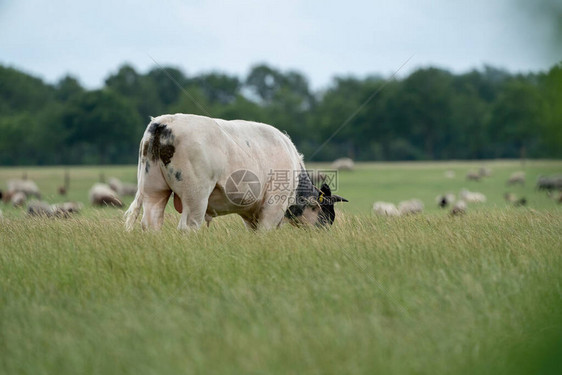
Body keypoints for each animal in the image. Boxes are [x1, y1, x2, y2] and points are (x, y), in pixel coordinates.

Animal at [123, 114, 346, 232]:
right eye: (326, 216)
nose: (324, 234)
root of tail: (164, 122)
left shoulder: (251, 214)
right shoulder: (273, 207)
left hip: (153, 190)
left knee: (151, 223)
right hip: (195, 196)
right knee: (188, 226)